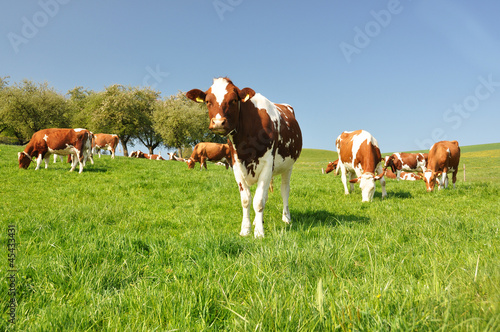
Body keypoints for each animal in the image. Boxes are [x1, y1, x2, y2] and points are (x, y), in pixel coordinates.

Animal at [188, 76, 302, 237]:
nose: (218, 123)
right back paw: (257, 221)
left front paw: (259, 233)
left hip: (288, 166)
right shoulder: (236, 165)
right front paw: (246, 229)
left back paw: (286, 218)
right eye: (208, 101)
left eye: (233, 100)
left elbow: (259, 201)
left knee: (284, 190)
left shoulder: (267, 165)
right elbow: (247, 200)